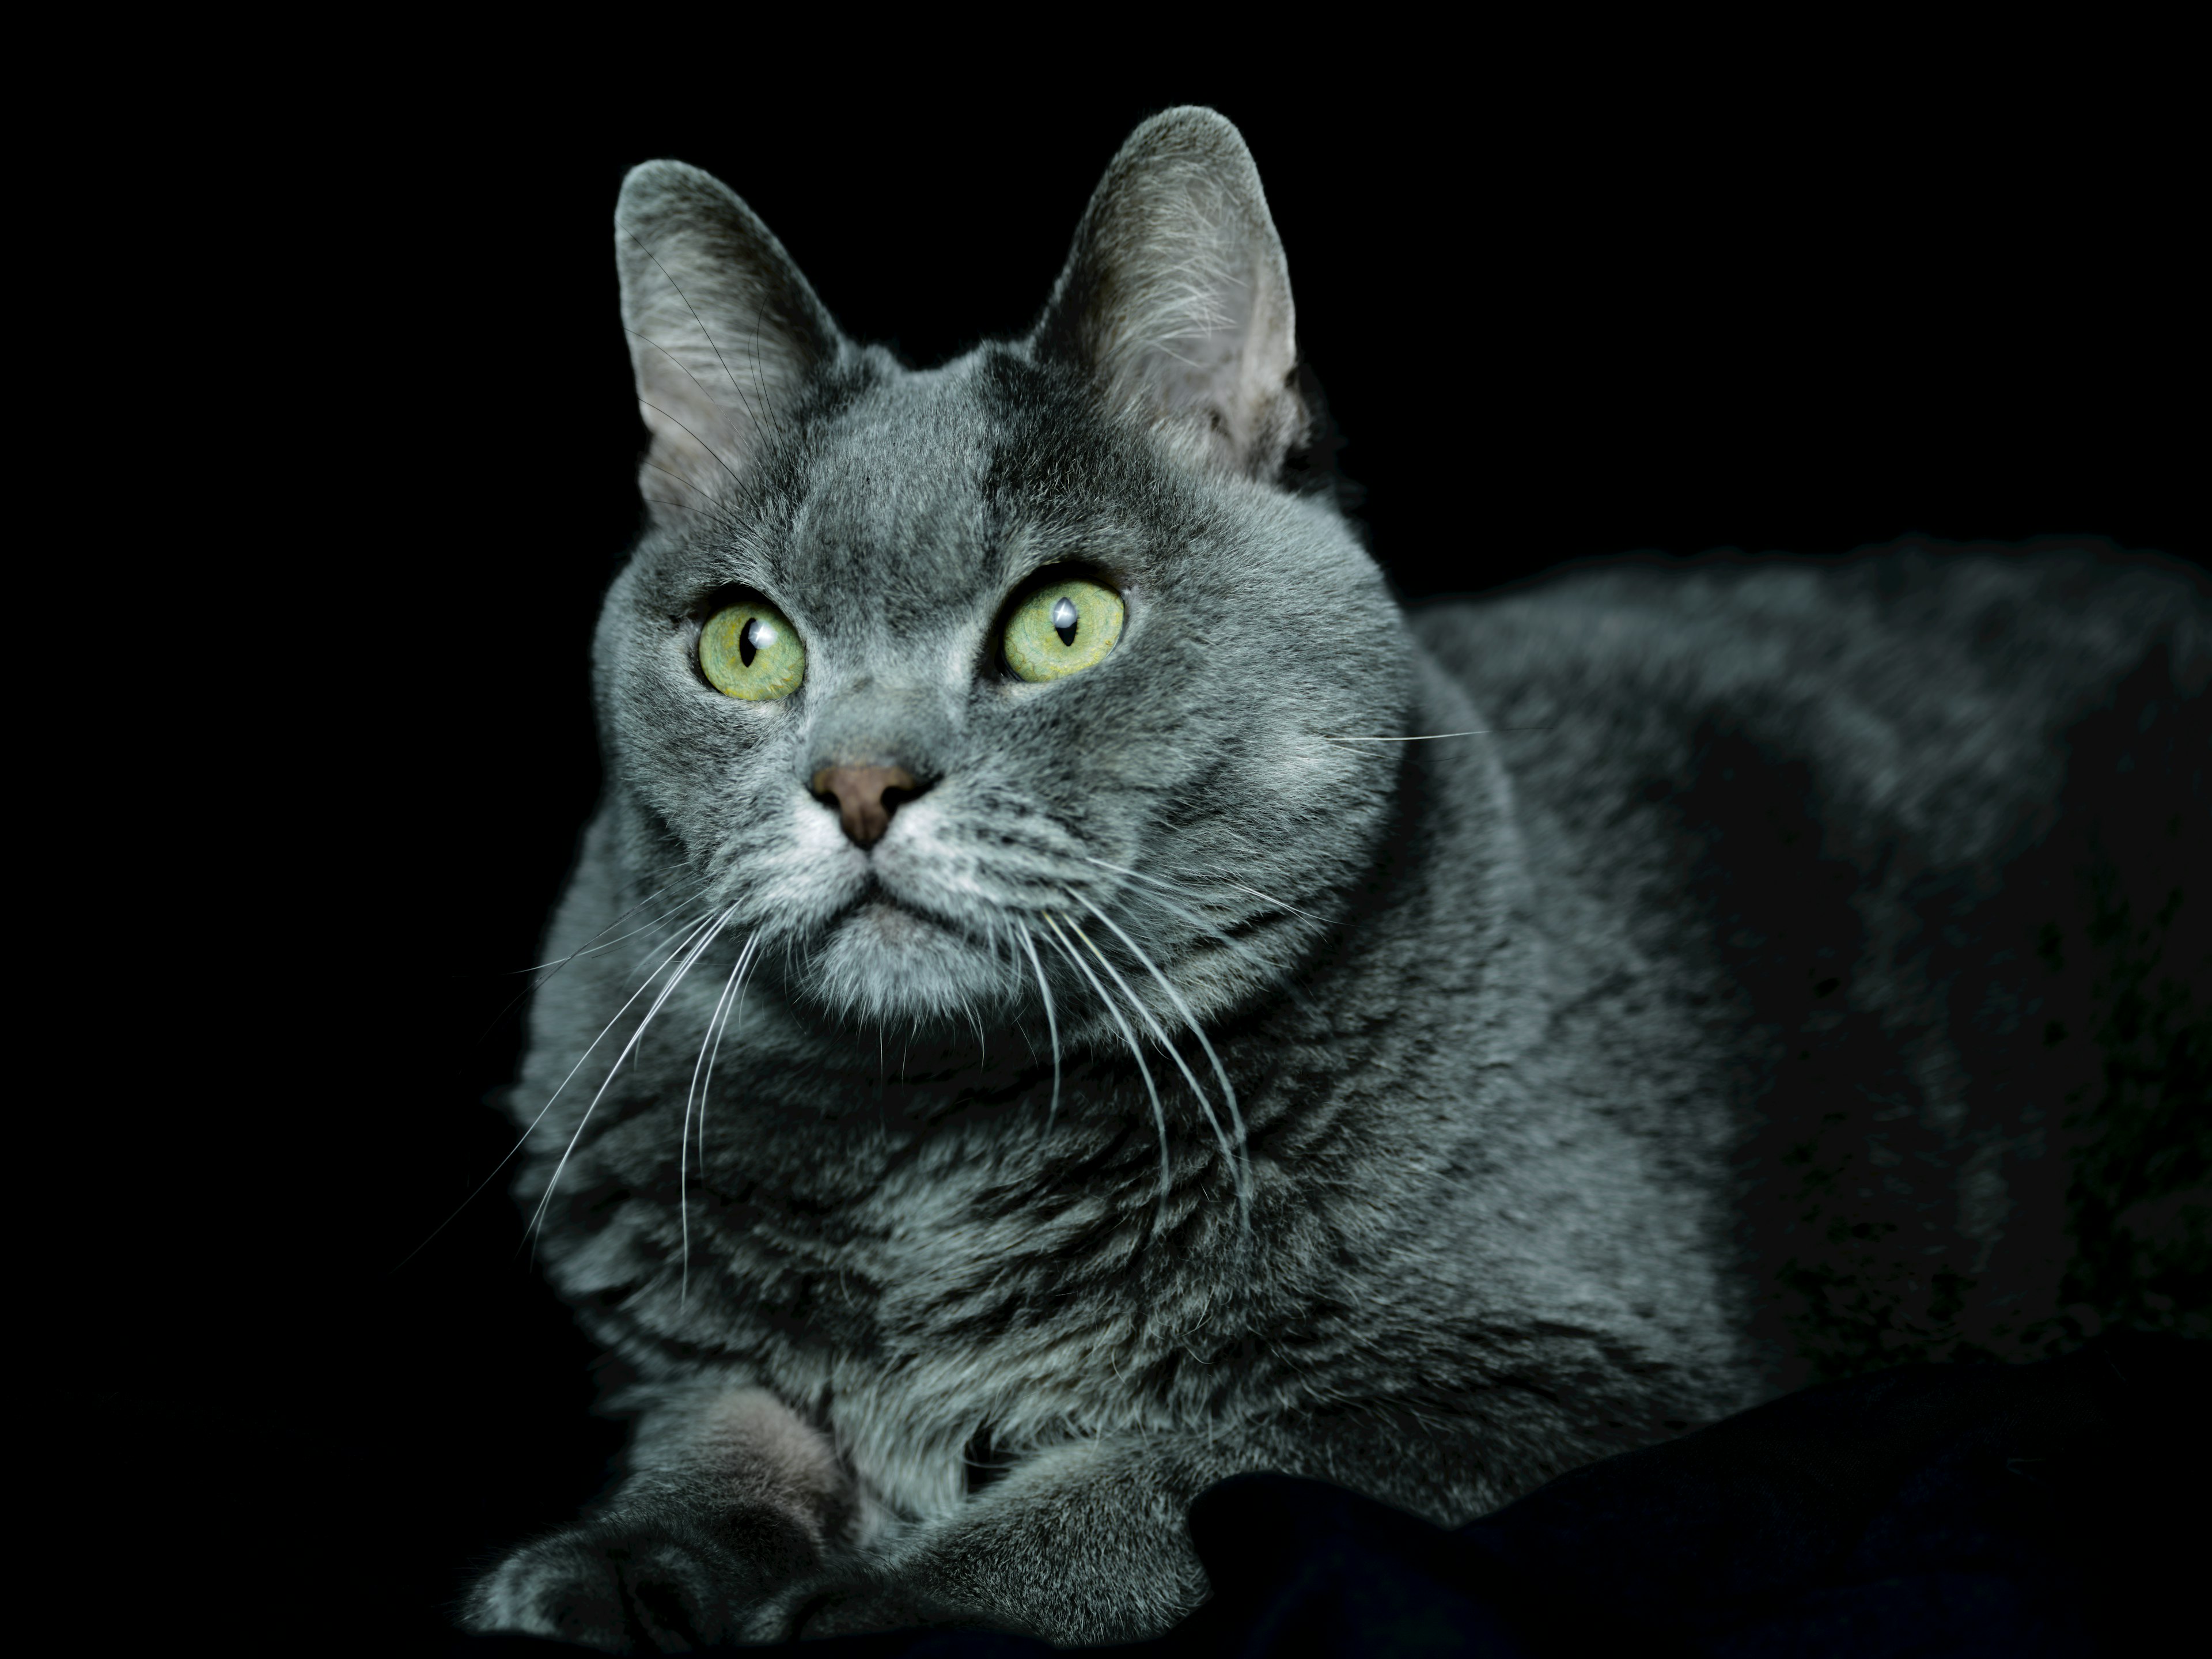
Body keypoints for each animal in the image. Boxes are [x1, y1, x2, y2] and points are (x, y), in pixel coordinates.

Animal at [462, 111, 2194, 1654]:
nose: (860, 782)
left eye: (1062, 623)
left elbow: (1189, 1471)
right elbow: (727, 1429)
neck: (933, 1153)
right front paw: (601, 1567)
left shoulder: (1571, 1386)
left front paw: (871, 1605)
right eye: (748, 646)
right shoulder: (681, 1354)